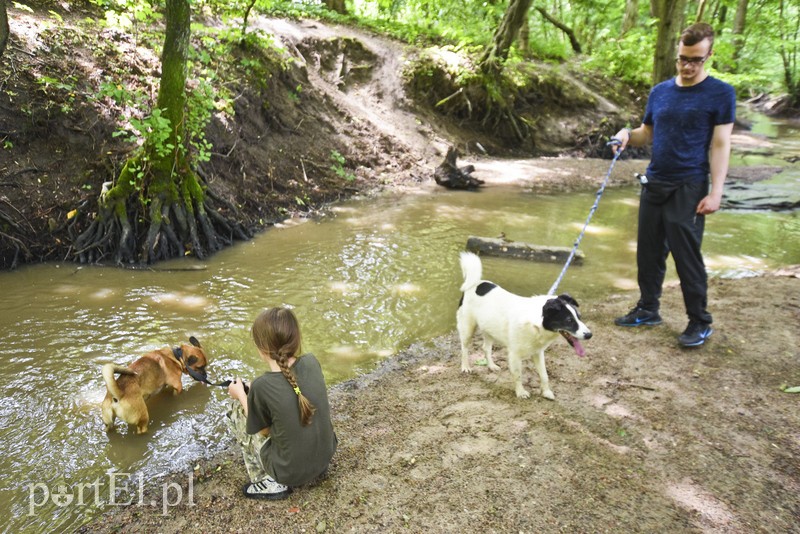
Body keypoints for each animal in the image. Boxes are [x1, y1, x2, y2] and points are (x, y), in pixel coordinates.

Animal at [456, 253, 592, 400]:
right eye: (569, 320)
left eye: (579, 317)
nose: (590, 335)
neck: (536, 323)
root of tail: (475, 284)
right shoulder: (514, 355)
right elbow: (518, 375)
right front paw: (520, 392)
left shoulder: (538, 353)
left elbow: (544, 375)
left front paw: (546, 392)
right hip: (468, 328)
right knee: (464, 348)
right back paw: (465, 367)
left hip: (489, 329)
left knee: (486, 348)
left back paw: (491, 366)